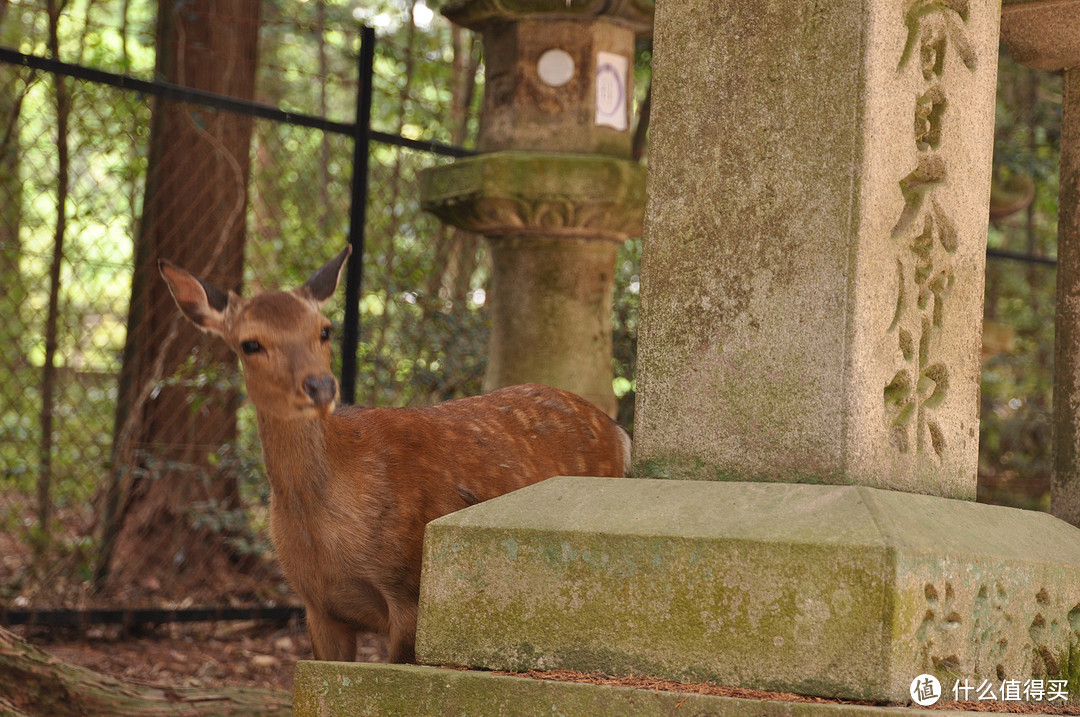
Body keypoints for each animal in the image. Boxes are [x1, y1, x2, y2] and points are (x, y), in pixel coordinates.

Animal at [160, 246, 630, 660]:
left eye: (324, 330)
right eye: (250, 344)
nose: (321, 386)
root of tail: (619, 433)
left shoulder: (409, 590)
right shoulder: (317, 605)